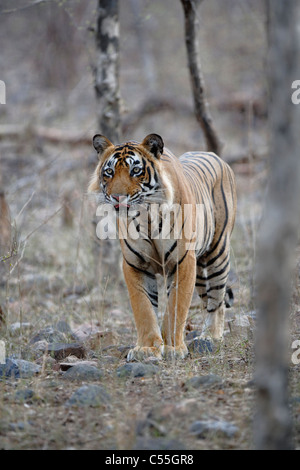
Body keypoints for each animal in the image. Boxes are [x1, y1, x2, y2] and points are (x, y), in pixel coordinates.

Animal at [88, 134, 237, 362]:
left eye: (136, 170)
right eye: (109, 172)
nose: (118, 197)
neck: (146, 217)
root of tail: (215, 156)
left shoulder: (183, 262)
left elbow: (176, 307)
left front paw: (174, 348)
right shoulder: (135, 265)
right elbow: (144, 309)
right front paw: (147, 348)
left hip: (216, 256)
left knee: (217, 301)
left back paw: (210, 337)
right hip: (199, 272)